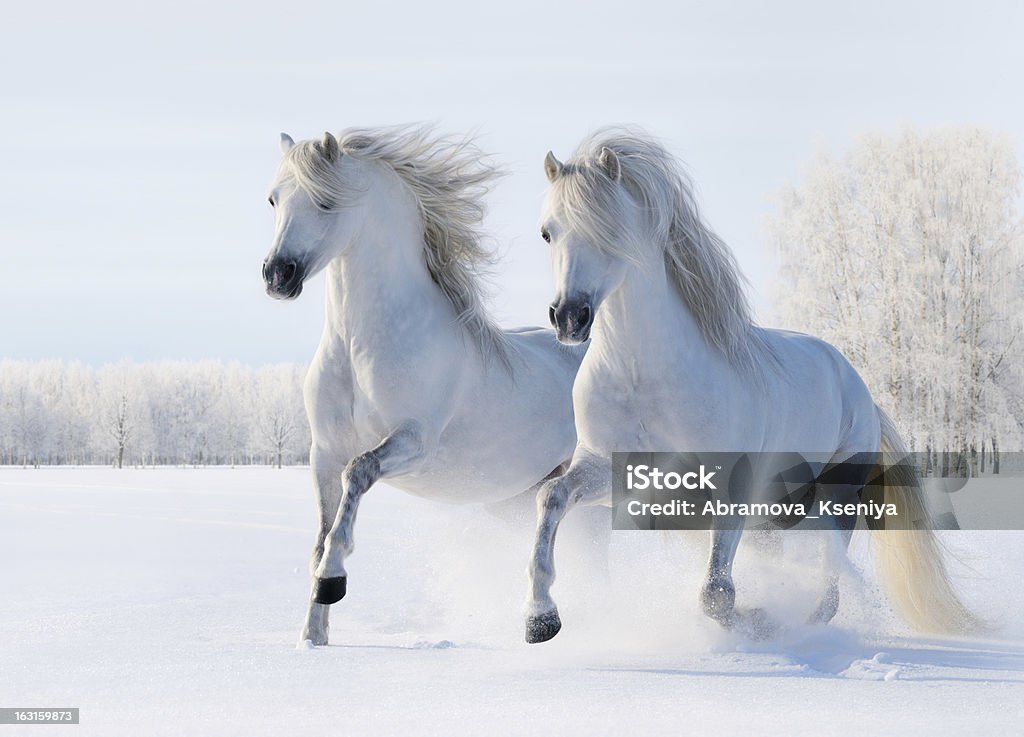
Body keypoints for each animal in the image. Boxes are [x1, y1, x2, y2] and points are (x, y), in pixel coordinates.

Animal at [262, 126, 585, 646]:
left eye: (327, 201)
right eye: (273, 199)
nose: (277, 275)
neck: (359, 347)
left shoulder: (414, 442)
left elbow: (358, 475)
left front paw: (333, 581)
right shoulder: (322, 452)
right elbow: (320, 534)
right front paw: (313, 637)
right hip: (518, 498)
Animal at [528, 127, 974, 646]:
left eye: (610, 230)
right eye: (547, 232)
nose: (569, 318)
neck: (643, 375)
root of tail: (860, 390)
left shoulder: (730, 485)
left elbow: (716, 594)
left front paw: (758, 621)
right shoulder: (613, 469)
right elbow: (551, 497)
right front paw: (540, 618)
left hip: (835, 497)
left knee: (830, 584)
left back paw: (800, 628)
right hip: (778, 510)